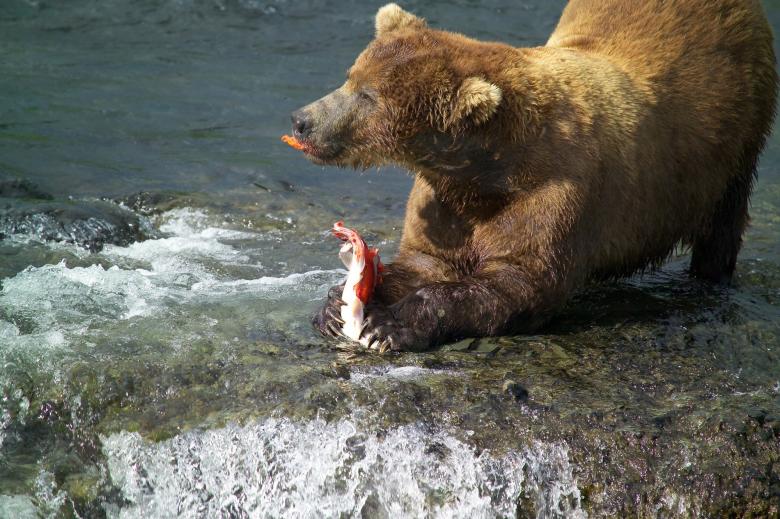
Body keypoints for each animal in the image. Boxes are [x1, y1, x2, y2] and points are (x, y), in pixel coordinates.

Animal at [291, 1, 778, 352]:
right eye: (351, 77)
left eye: (369, 96)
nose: (302, 120)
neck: (487, 169)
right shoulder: (444, 199)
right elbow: (425, 260)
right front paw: (335, 304)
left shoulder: (553, 192)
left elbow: (520, 281)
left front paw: (388, 324)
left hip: (735, 135)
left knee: (723, 221)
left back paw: (708, 279)